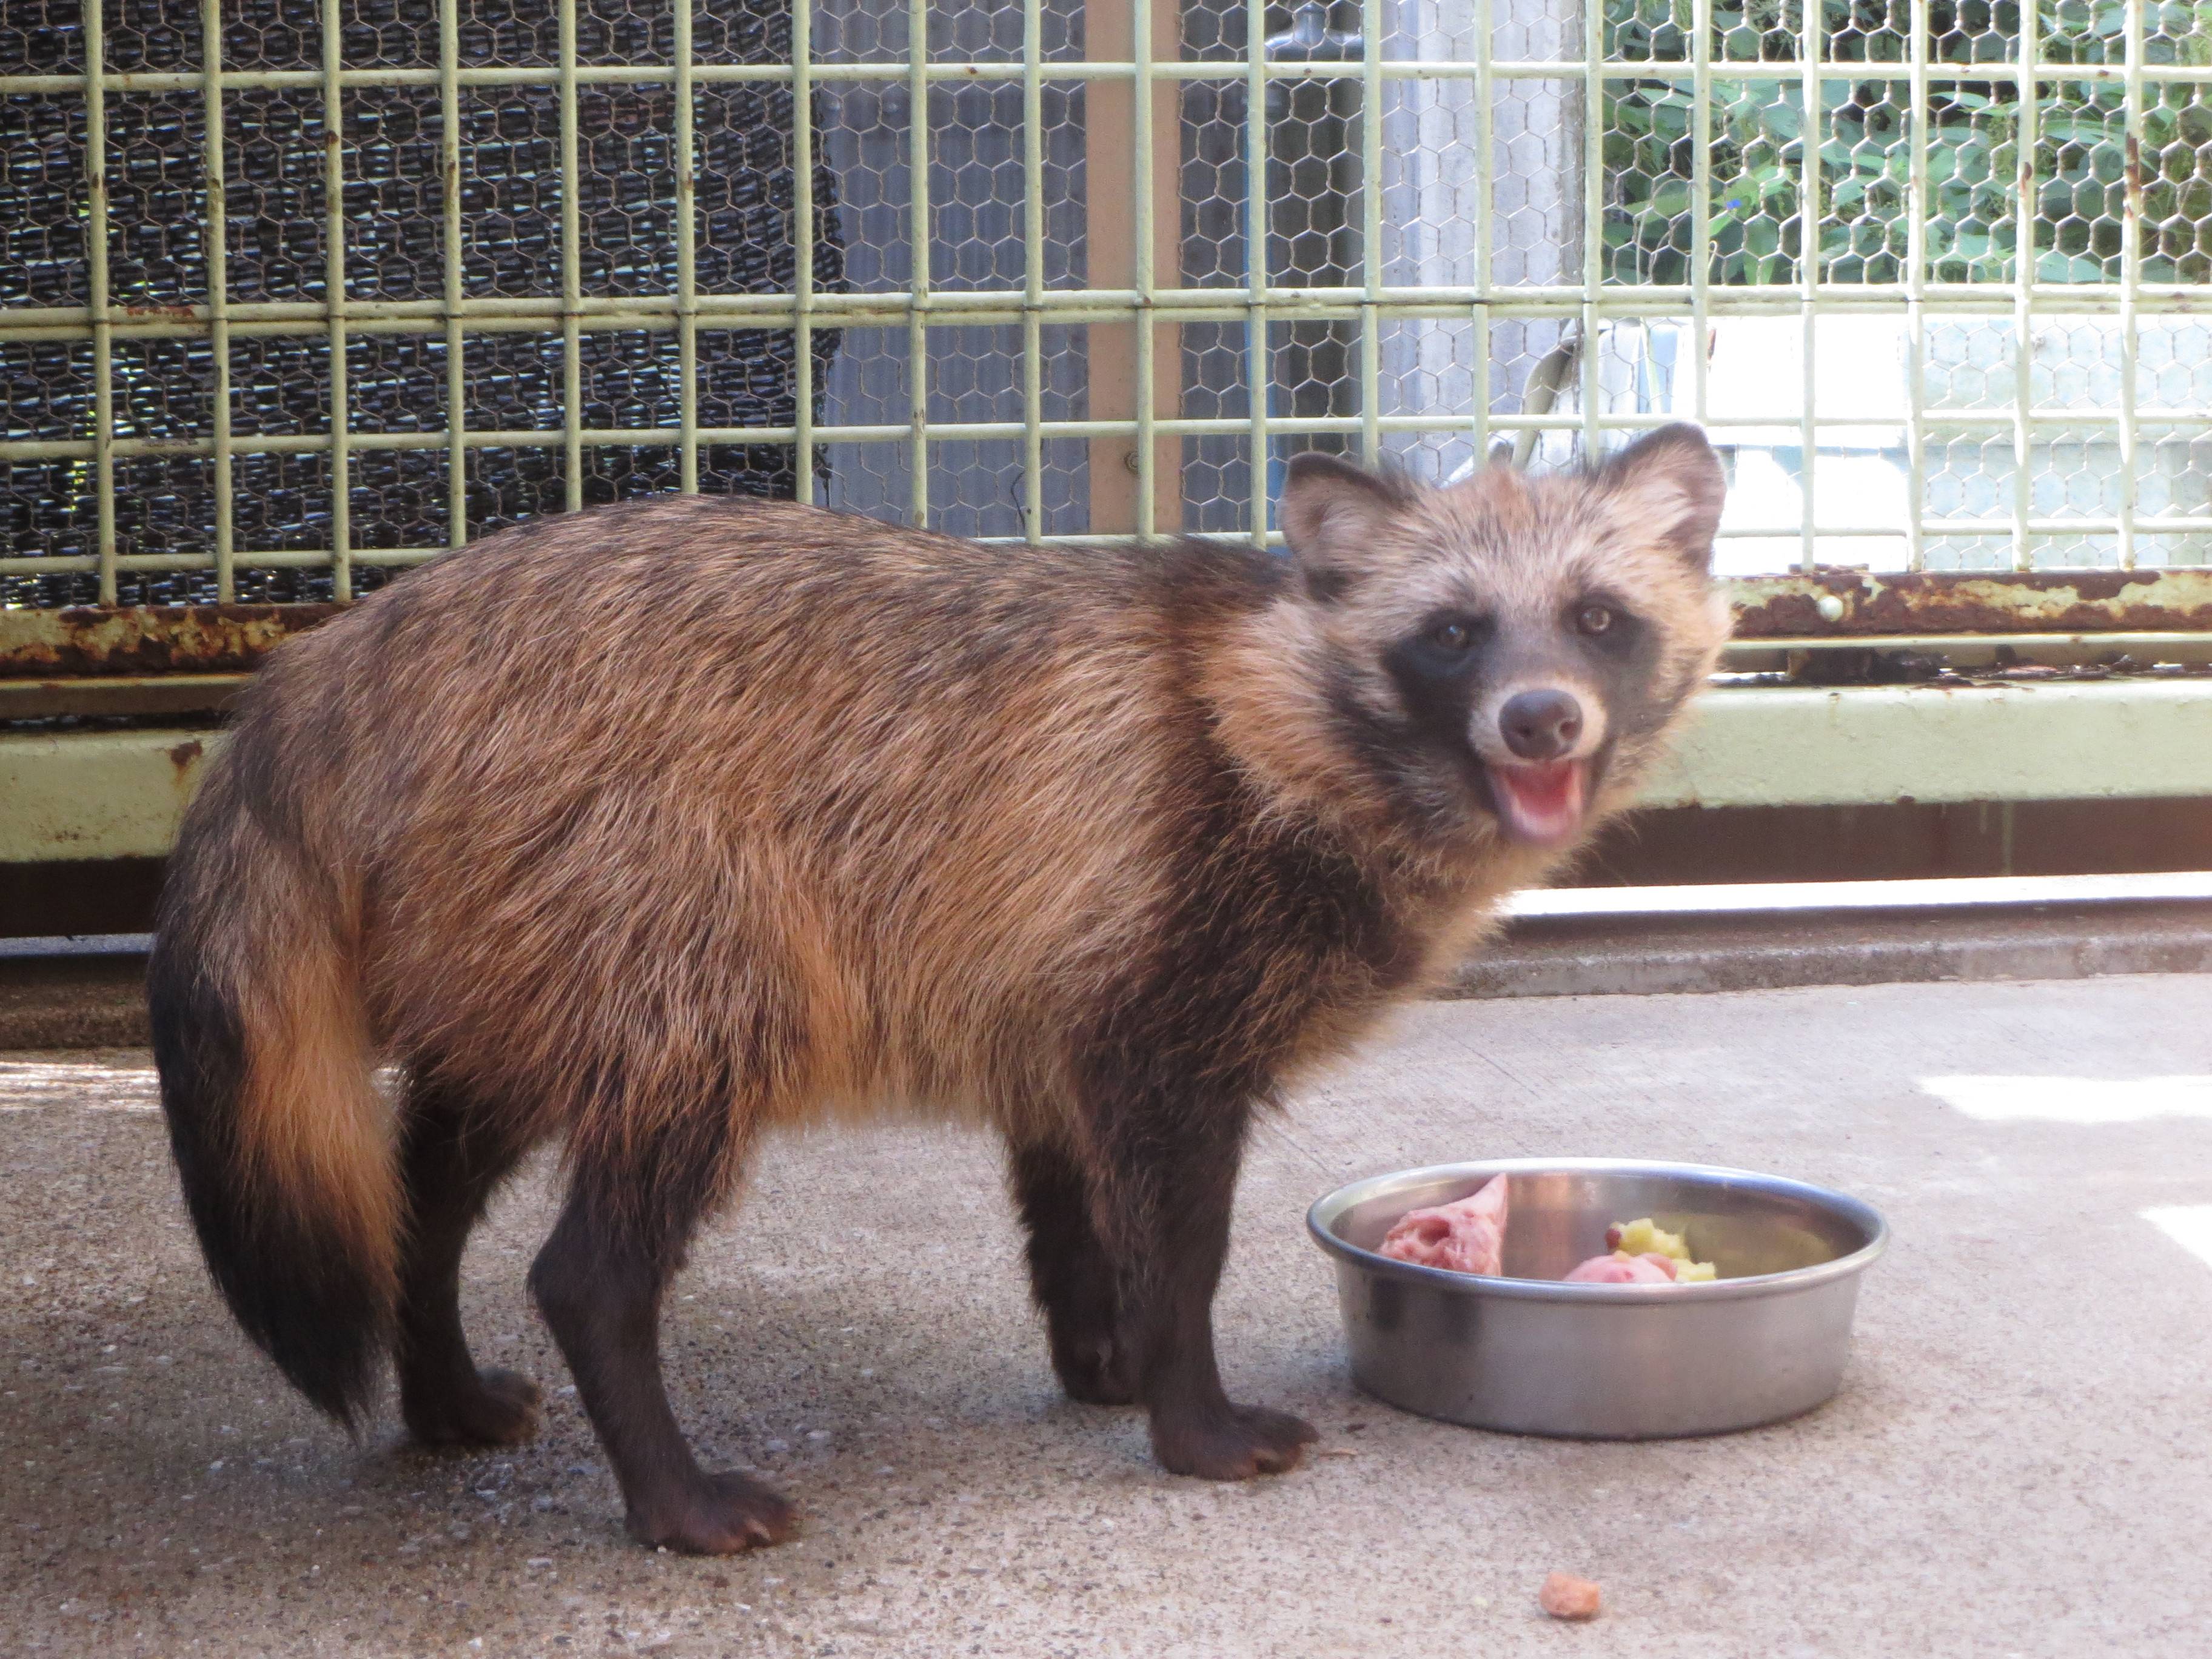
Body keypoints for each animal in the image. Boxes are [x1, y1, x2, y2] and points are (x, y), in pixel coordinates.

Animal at [156, 424, 1734, 1557]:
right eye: (1454, 633)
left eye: (1599, 618)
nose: (1542, 718)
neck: (1288, 710)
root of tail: (342, 657)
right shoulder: (1169, 998)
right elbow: (1184, 1235)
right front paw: (1190, 1410)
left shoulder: (1062, 987)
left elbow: (1073, 1200)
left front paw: (1104, 1347)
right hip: (673, 931)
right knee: (592, 1257)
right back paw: (665, 1485)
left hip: (513, 955)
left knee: (421, 1190)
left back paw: (435, 1377)